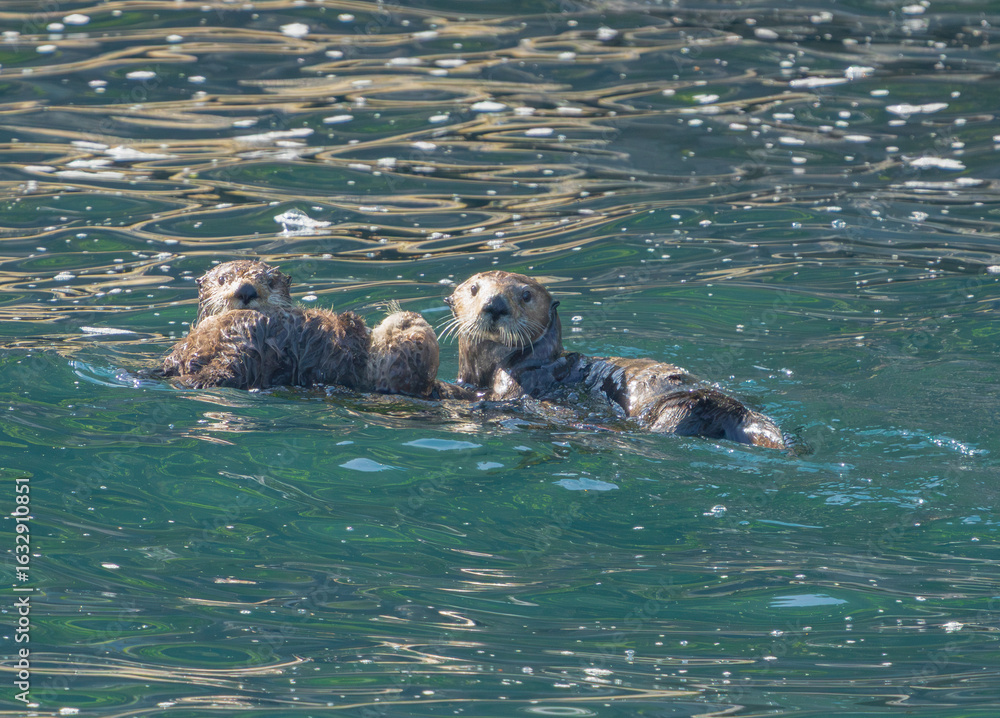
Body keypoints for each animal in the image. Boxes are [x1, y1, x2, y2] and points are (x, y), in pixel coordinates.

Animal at [443, 271, 786, 449]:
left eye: (526, 295)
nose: (495, 305)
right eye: (474, 289)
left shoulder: (518, 383)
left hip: (678, 407)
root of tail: (737, 412)